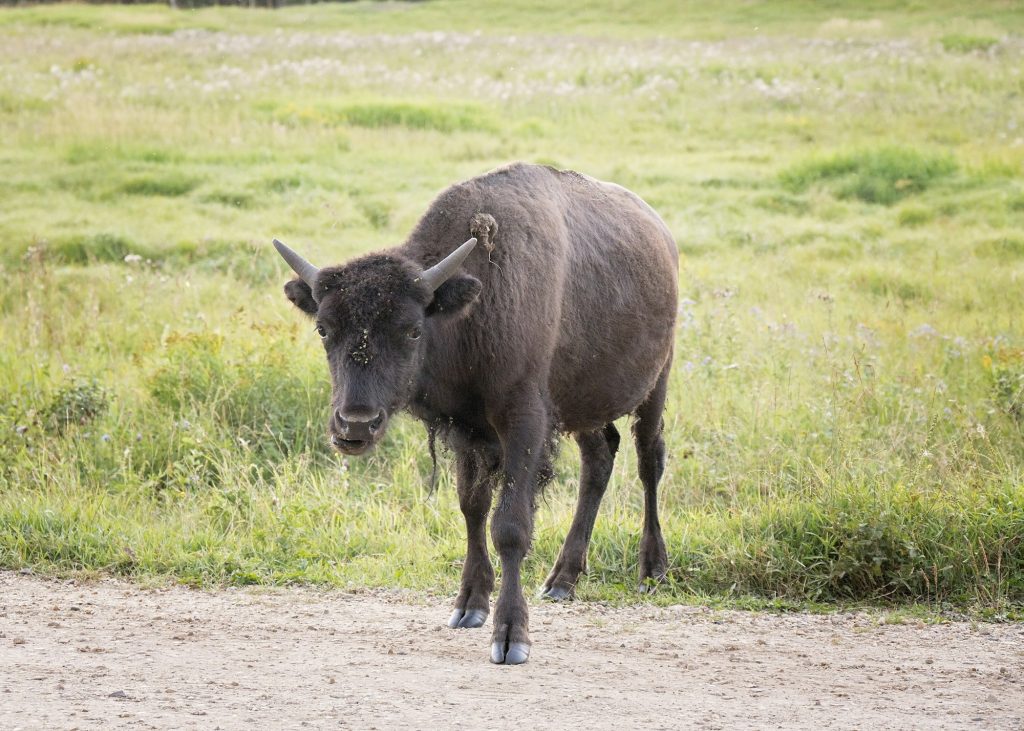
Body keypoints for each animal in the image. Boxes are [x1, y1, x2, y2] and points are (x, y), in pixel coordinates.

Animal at [274, 162, 679, 663]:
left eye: (412, 330)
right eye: (324, 329)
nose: (355, 424)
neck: (472, 308)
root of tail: (662, 235)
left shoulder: (524, 424)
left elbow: (509, 526)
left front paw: (510, 637)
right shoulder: (468, 429)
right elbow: (472, 508)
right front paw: (468, 606)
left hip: (656, 384)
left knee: (648, 461)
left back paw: (653, 570)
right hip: (581, 408)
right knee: (600, 459)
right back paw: (562, 580)